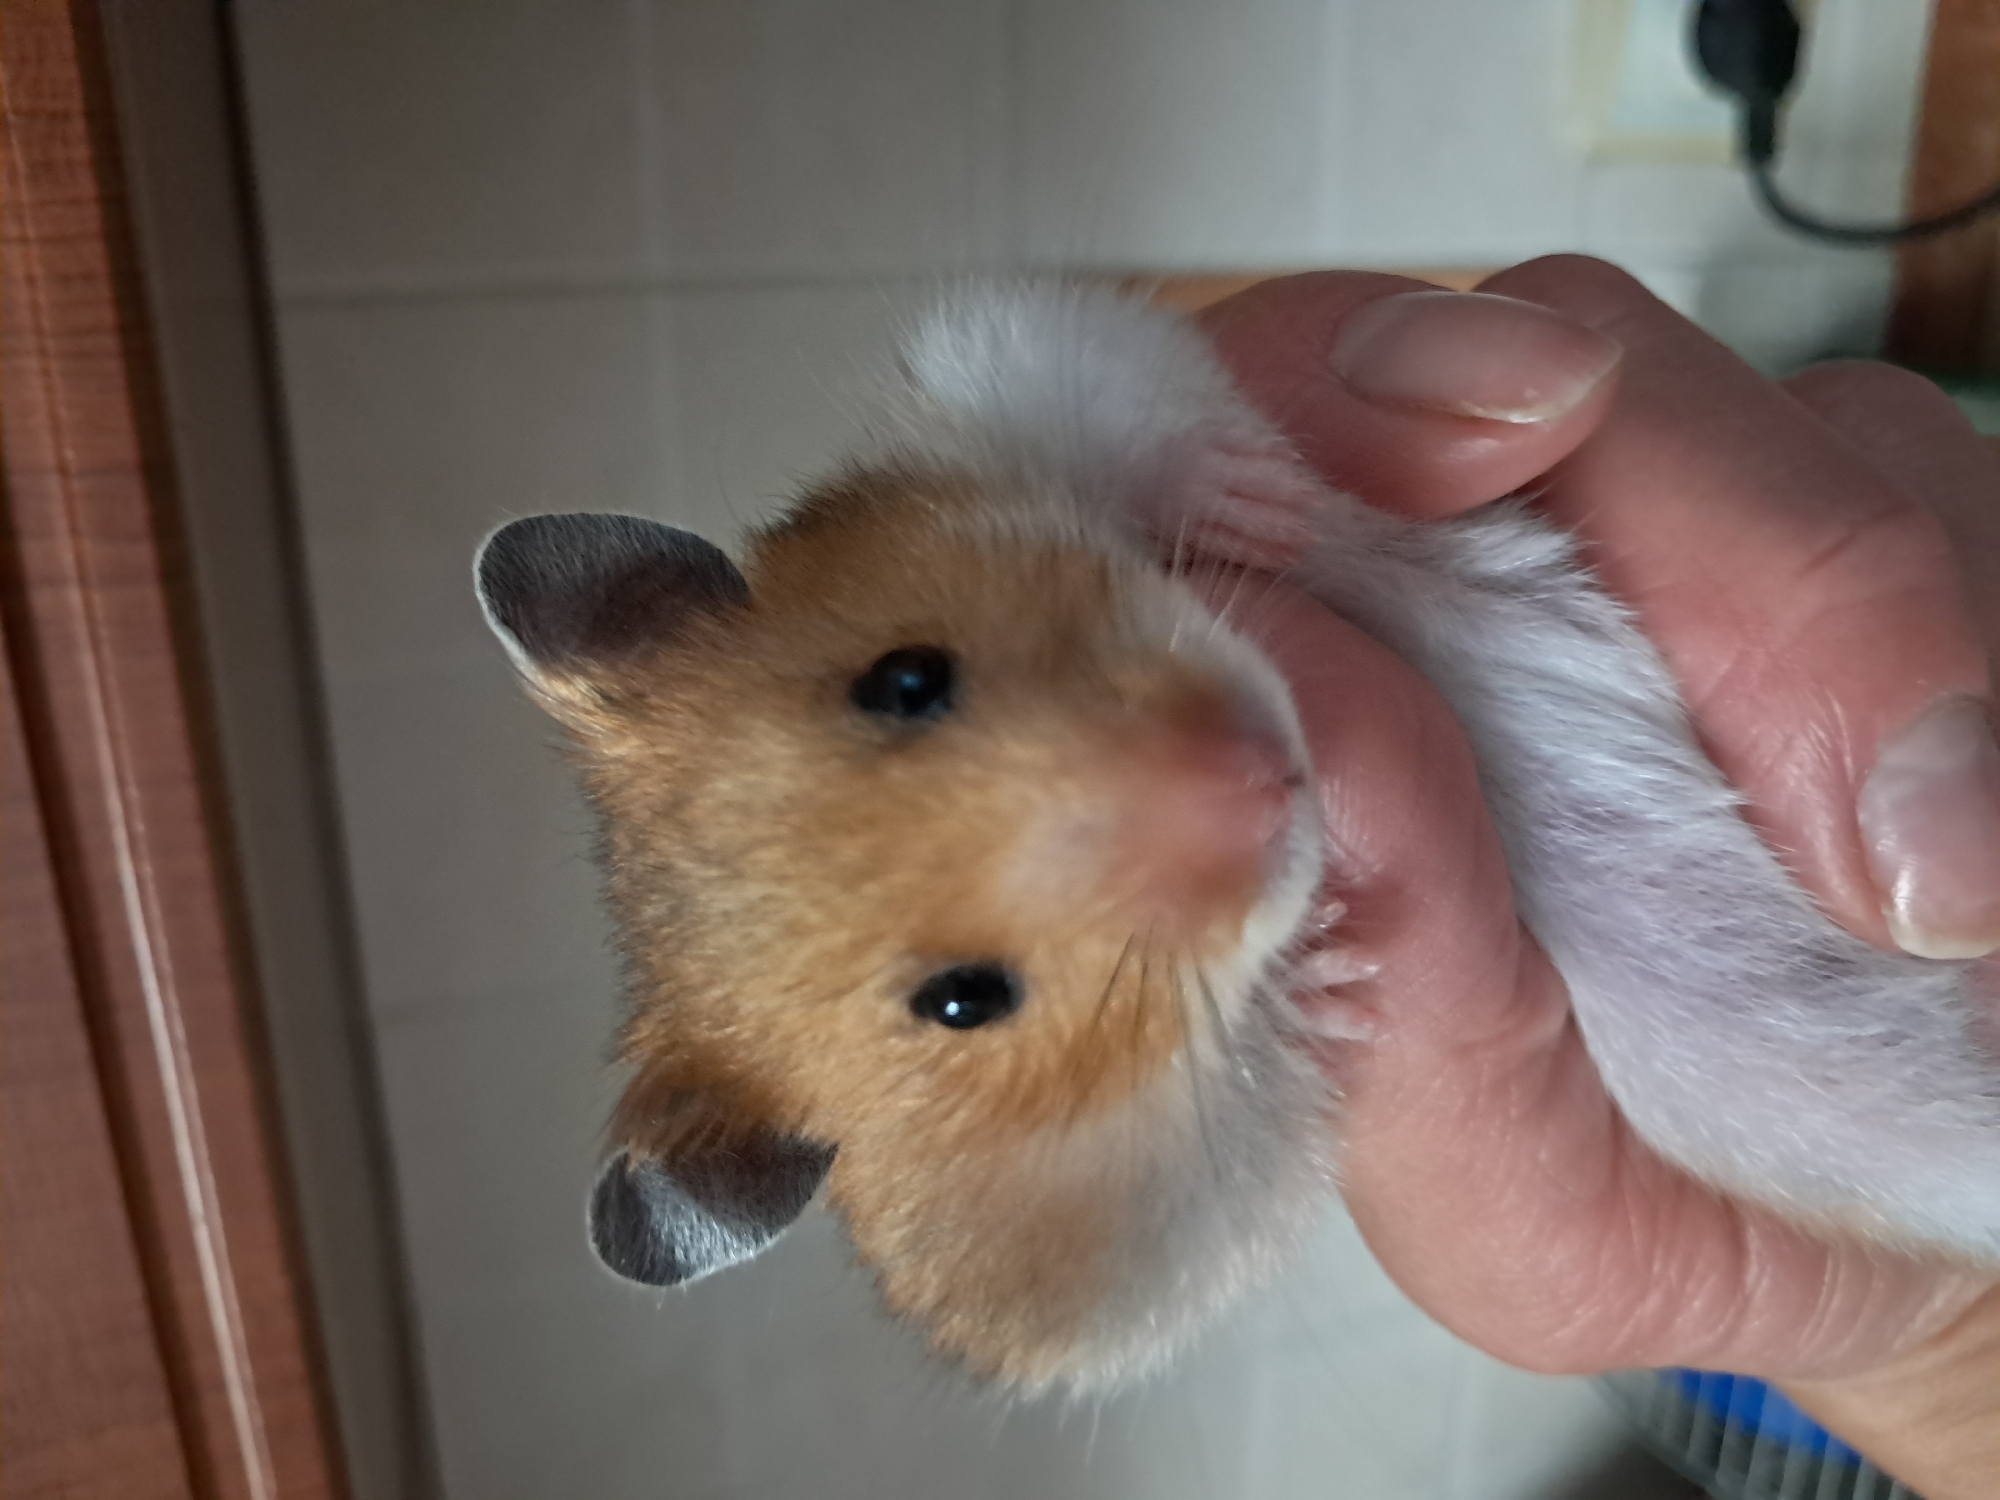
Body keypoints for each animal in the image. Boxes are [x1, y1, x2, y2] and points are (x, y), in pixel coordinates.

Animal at [475, 284, 2000, 1393]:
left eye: (906, 679)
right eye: (965, 1002)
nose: (1260, 774)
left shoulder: (1009, 365)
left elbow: (1116, 396)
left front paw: (1236, 502)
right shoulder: (1115, 1258)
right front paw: (1330, 985)